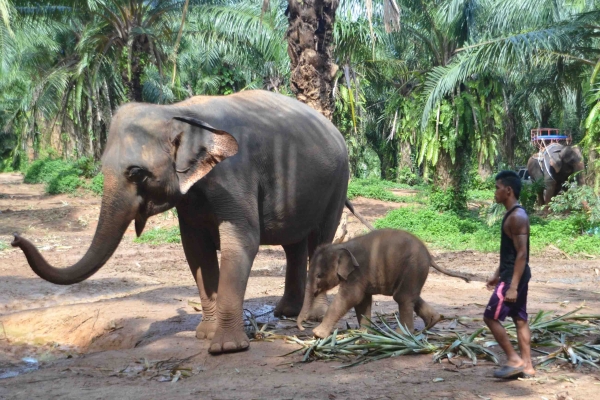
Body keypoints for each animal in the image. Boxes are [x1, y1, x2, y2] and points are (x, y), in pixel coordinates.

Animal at [12, 90, 370, 354]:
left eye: (136, 173)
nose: (15, 238)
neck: (176, 111)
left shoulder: (234, 176)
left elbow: (242, 242)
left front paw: (226, 348)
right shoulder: (191, 200)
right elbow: (195, 250)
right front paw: (204, 335)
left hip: (338, 181)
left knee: (320, 237)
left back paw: (313, 316)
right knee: (292, 244)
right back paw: (286, 312)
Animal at [298, 228, 472, 338]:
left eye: (319, 275)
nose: (301, 326)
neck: (340, 246)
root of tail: (430, 256)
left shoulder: (357, 273)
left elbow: (351, 297)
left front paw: (317, 334)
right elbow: (362, 300)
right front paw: (363, 333)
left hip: (413, 267)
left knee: (403, 297)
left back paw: (403, 334)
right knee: (412, 296)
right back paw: (432, 322)